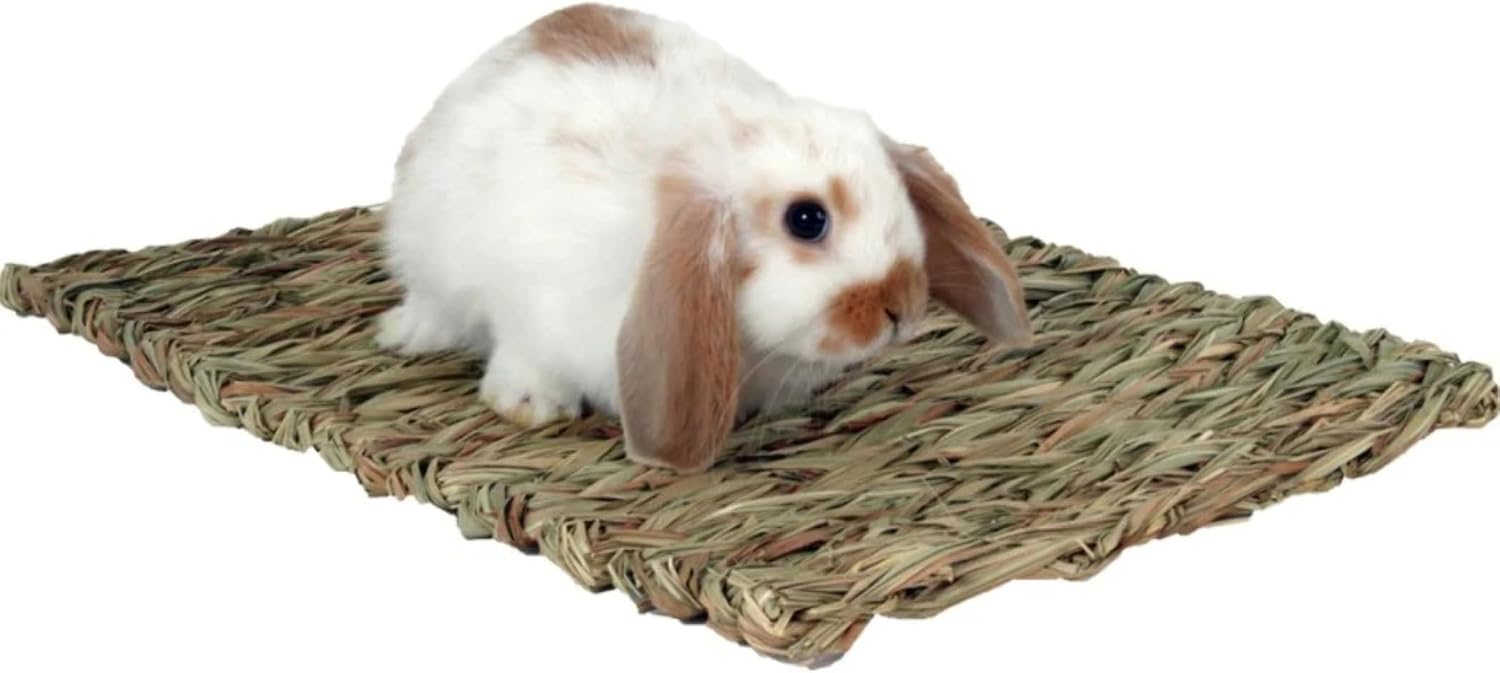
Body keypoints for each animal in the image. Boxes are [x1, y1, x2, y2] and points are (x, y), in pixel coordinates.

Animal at [376, 3, 1033, 473]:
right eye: (807, 219)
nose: (902, 307)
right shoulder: (530, 306)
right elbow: (523, 354)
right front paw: (529, 408)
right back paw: (408, 334)